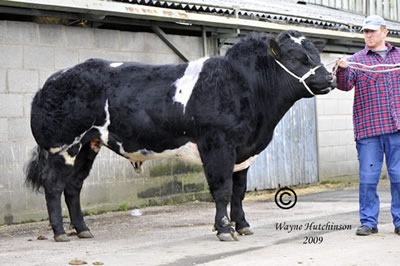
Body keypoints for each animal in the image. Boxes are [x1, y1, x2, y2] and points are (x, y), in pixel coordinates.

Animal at [25, 30, 336, 242]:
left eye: (317, 55)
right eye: (296, 57)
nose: (330, 78)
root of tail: (51, 80)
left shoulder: (244, 151)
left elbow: (239, 191)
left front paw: (243, 226)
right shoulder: (217, 144)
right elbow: (222, 190)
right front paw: (224, 229)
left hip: (89, 144)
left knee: (73, 186)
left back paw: (83, 229)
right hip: (63, 146)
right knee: (54, 186)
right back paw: (60, 232)